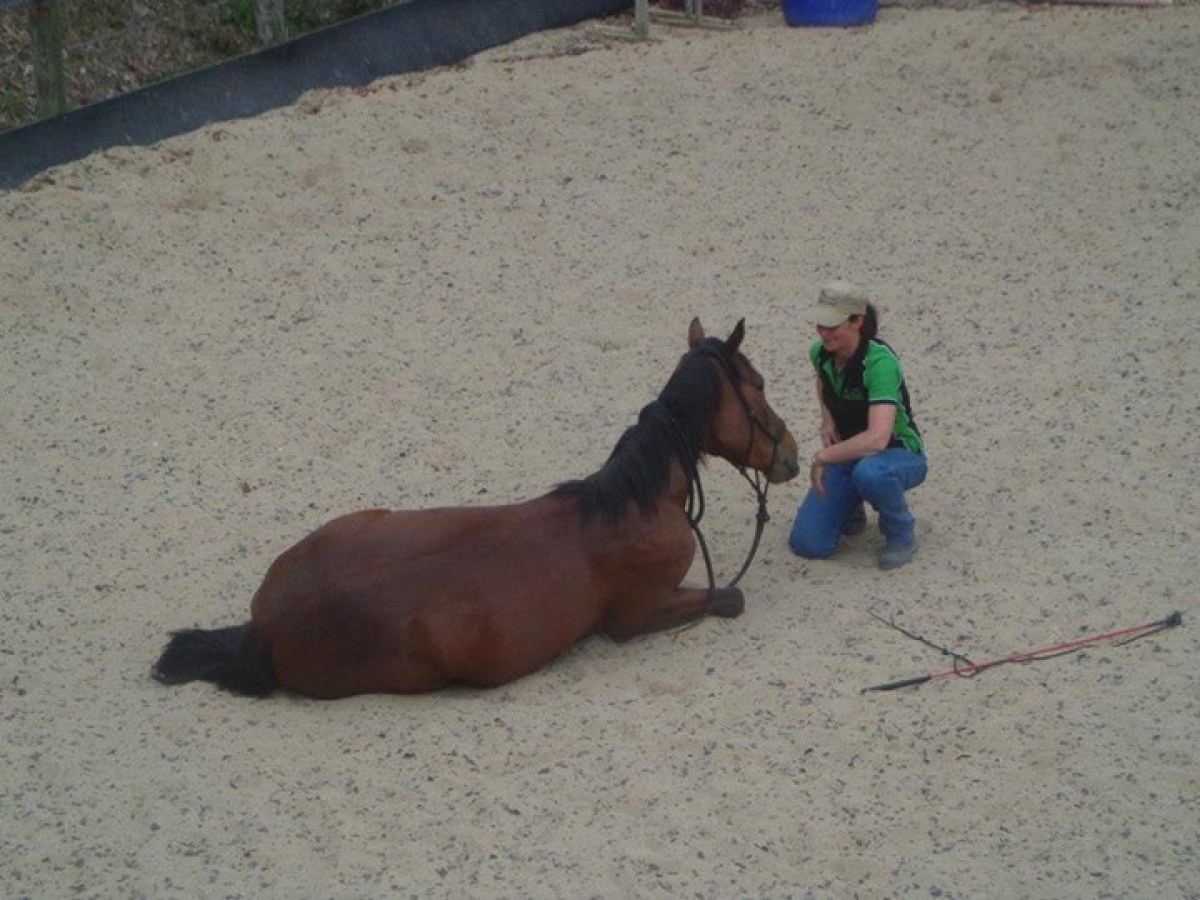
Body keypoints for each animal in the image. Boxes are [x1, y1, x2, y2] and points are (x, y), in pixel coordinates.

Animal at [153, 318, 800, 699]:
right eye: (761, 383)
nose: (792, 456)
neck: (633, 504)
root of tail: (265, 628)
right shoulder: (638, 615)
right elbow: (731, 598)